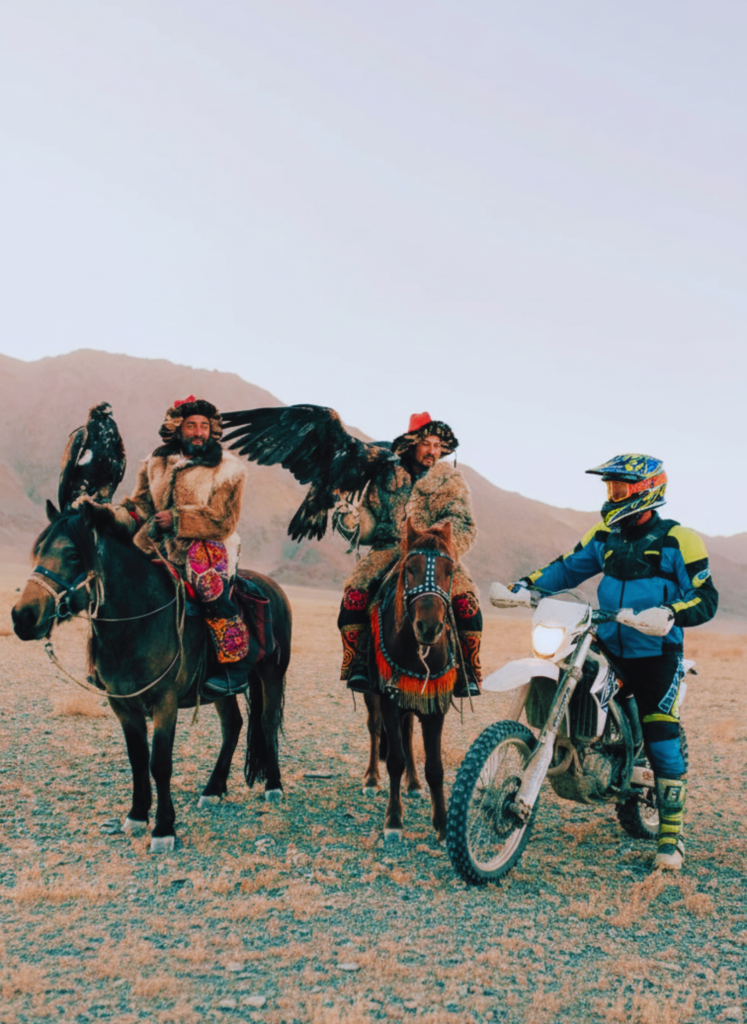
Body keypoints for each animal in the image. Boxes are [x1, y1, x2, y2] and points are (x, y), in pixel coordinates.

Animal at [11, 500, 291, 853]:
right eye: (37, 552)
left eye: (73, 554)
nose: (23, 616)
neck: (136, 623)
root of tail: (274, 587)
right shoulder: (123, 704)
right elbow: (138, 758)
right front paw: (136, 816)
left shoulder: (164, 702)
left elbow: (159, 763)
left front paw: (163, 829)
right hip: (220, 688)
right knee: (233, 725)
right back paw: (212, 790)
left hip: (272, 675)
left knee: (266, 722)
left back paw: (274, 786)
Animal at [363, 518, 458, 842]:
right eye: (411, 568)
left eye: (449, 571)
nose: (428, 627)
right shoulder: (389, 699)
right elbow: (394, 760)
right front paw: (393, 820)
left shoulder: (435, 705)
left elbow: (435, 767)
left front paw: (442, 823)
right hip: (373, 695)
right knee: (374, 728)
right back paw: (371, 778)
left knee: (406, 735)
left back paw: (414, 784)